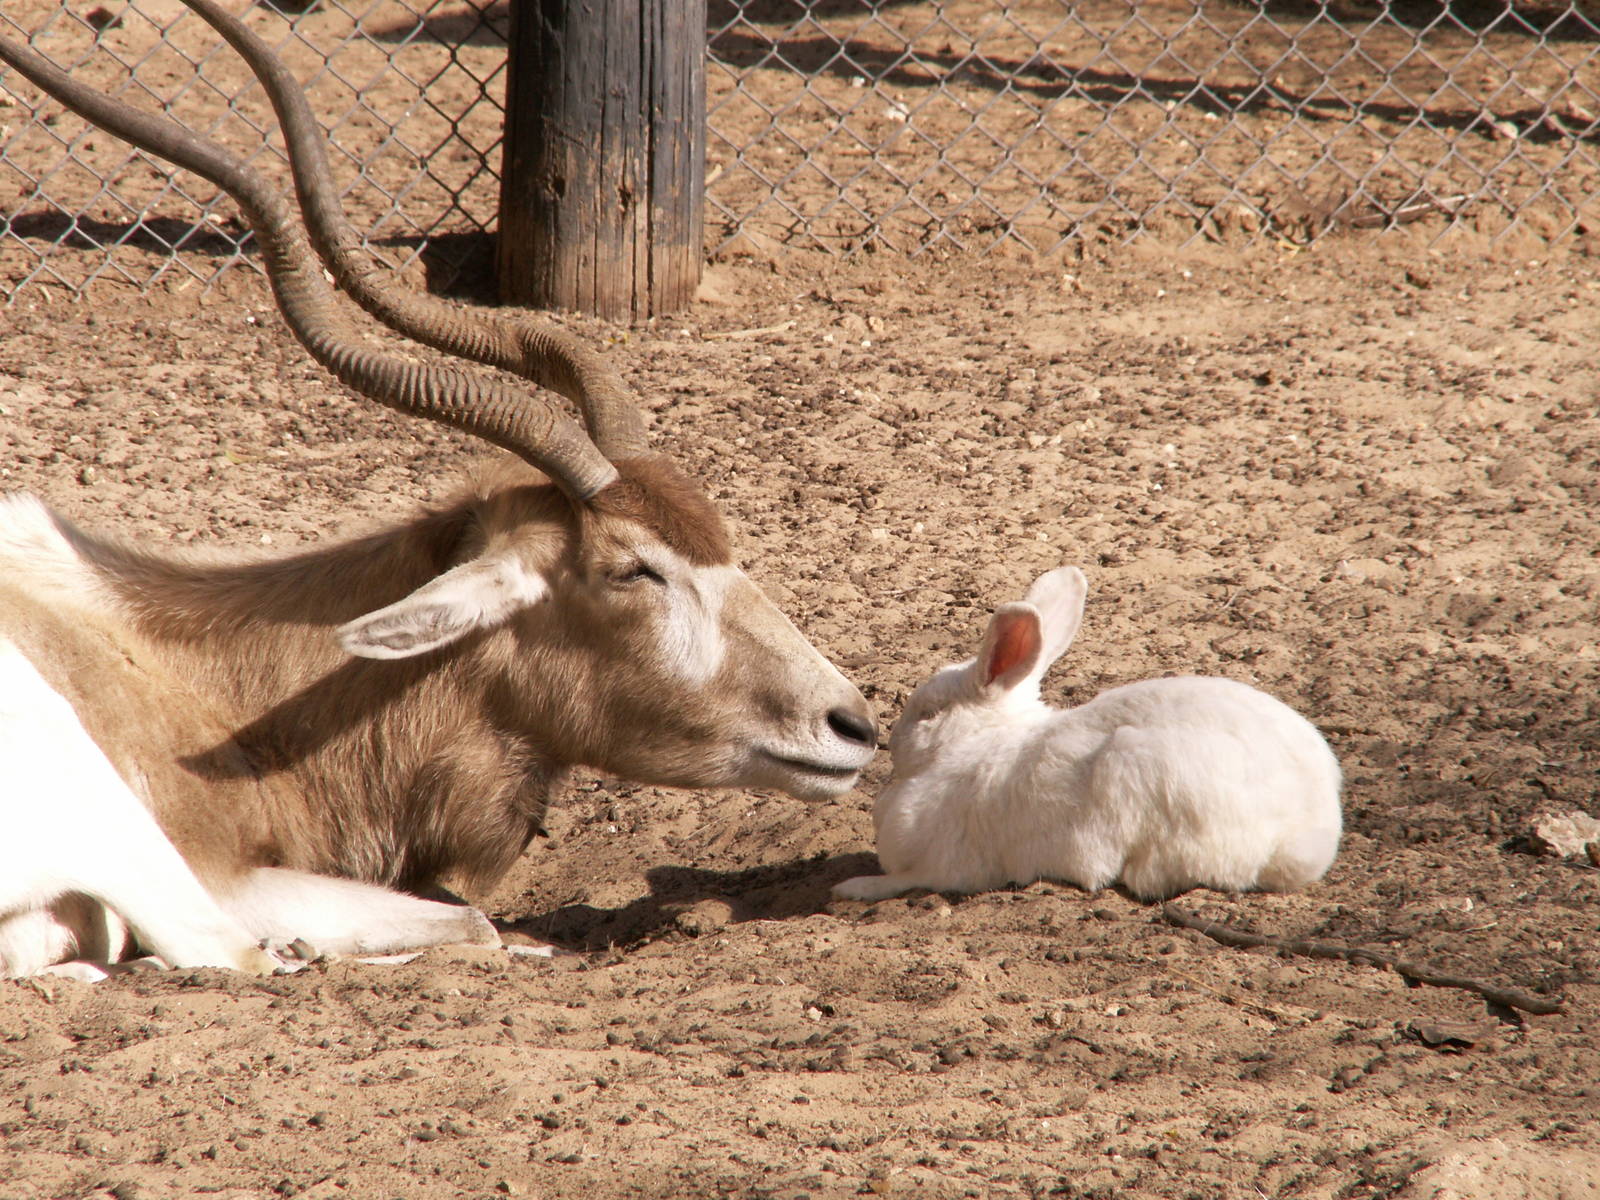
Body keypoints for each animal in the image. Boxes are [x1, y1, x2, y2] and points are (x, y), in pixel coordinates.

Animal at [833, 566, 1342, 903]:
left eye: (929, 713)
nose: (890, 738)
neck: (975, 745)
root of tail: (1303, 841)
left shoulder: (940, 868)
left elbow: (901, 881)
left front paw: (852, 887)